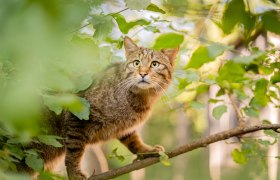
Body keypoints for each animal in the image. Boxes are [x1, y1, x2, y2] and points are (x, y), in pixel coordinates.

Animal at [18, 35, 178, 179]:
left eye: (155, 64)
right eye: (136, 63)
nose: (143, 73)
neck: (140, 98)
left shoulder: (124, 128)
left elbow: (133, 141)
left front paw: (146, 151)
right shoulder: (77, 117)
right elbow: (74, 152)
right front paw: (74, 173)